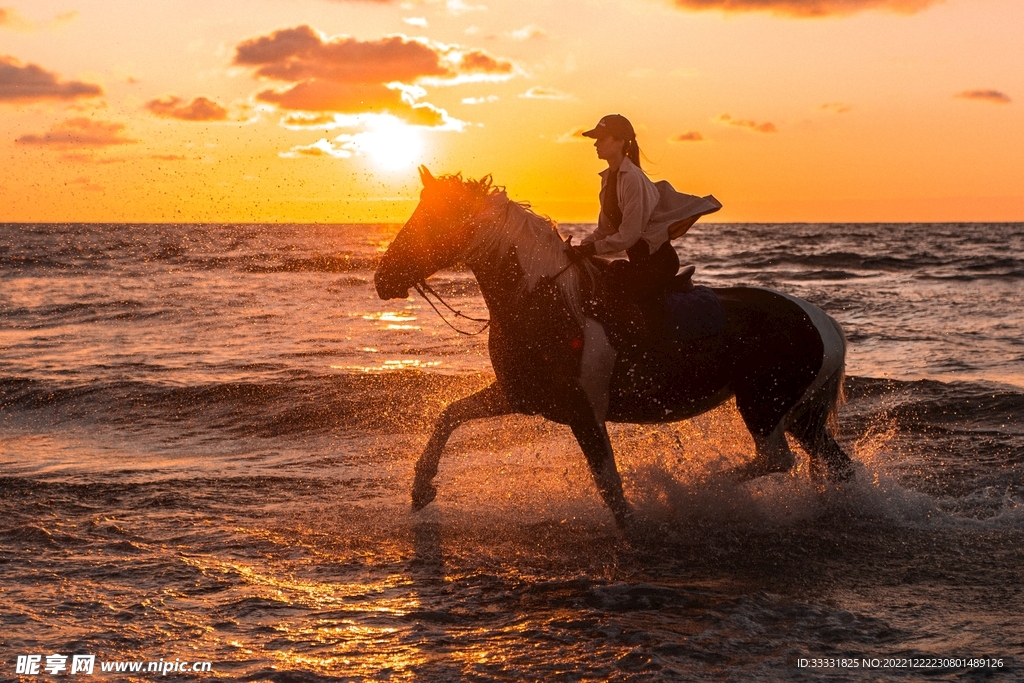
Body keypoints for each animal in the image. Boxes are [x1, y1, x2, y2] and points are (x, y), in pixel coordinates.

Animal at [374, 167, 854, 529]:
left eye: (435, 220)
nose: (383, 279)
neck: (545, 301)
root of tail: (822, 320)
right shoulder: (520, 395)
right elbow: (449, 415)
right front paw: (421, 489)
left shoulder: (583, 413)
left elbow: (610, 487)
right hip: (800, 414)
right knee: (835, 464)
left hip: (765, 407)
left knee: (775, 458)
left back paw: (699, 487)